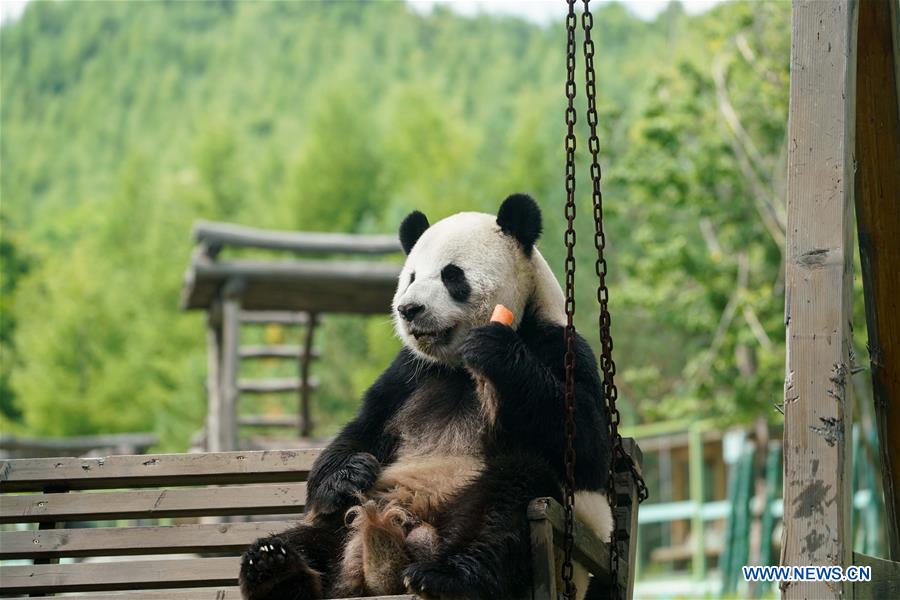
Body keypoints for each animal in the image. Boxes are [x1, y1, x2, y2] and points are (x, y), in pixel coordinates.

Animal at [239, 194, 613, 600]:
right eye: (412, 277)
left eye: (452, 275)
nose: (409, 309)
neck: (456, 365)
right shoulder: (409, 374)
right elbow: (361, 430)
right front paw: (350, 472)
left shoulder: (560, 348)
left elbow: (588, 447)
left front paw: (494, 349)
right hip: (342, 526)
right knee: (310, 538)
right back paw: (273, 568)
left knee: (507, 499)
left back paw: (446, 575)